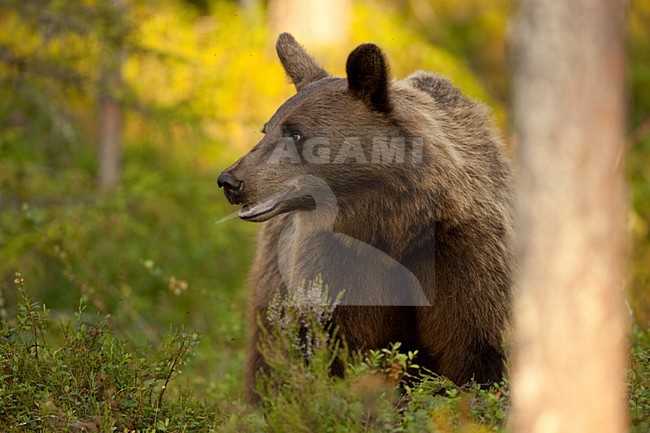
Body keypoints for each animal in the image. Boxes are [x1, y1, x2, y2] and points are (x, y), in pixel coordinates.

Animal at [218, 33, 514, 403]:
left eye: (295, 133)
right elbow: (337, 346)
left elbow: (472, 345)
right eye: (266, 129)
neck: (390, 225)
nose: (230, 181)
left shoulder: (461, 254)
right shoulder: (335, 264)